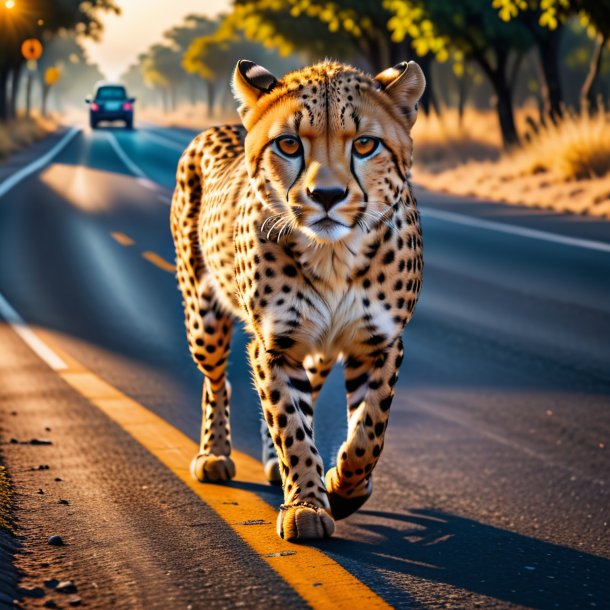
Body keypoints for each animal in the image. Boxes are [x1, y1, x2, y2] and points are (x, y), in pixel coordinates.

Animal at [171, 59, 422, 540]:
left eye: (365, 144)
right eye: (288, 144)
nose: (326, 195)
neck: (334, 254)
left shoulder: (379, 344)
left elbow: (368, 430)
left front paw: (344, 488)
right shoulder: (276, 344)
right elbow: (290, 424)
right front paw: (306, 505)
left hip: (317, 354)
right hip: (204, 319)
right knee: (219, 382)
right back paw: (214, 454)